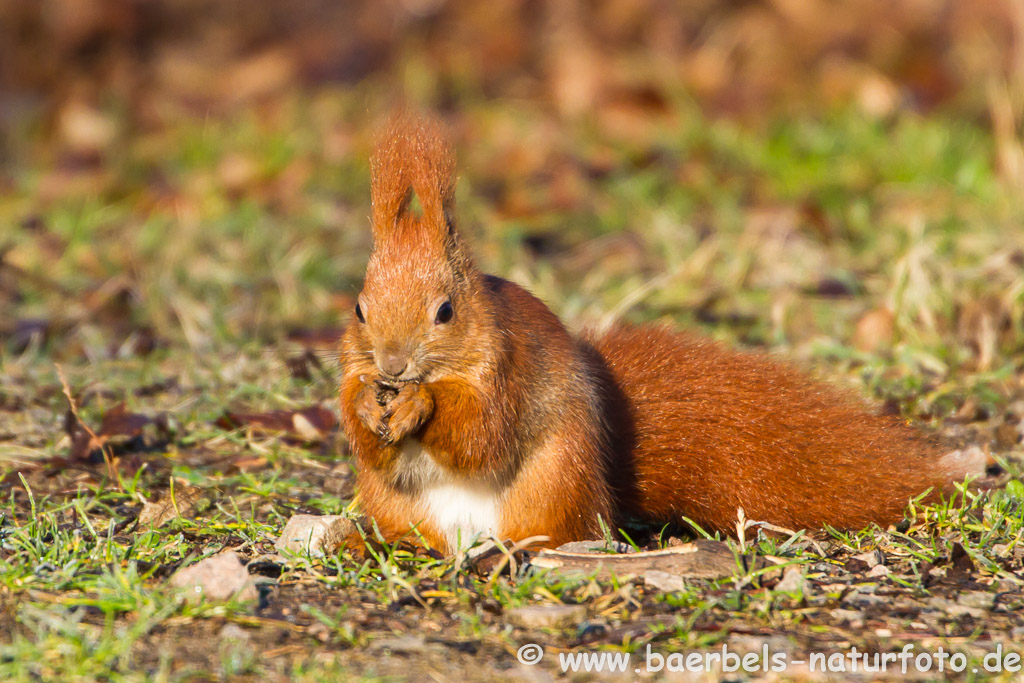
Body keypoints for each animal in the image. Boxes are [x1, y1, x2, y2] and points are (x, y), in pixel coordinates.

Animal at [337, 112, 974, 557]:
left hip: (553, 482)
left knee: (548, 530)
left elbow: (482, 434)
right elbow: (363, 431)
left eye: (446, 312)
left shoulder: (508, 371)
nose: (392, 366)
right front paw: (370, 405)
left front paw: (420, 403)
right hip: (393, 501)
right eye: (360, 308)